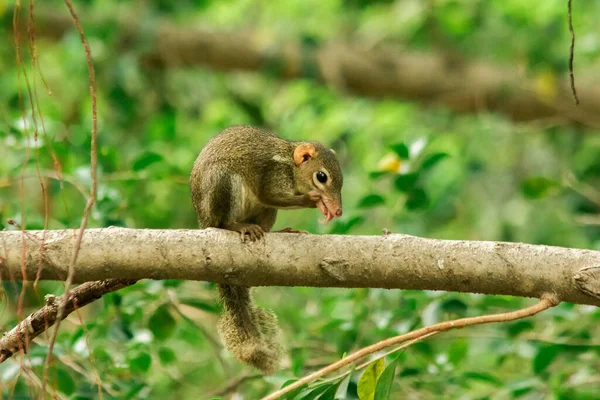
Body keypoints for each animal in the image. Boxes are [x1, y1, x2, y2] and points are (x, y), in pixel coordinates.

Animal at [190, 126, 344, 376]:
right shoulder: (272, 175)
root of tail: (204, 220)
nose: (337, 210)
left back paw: (282, 231)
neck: (291, 166)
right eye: (322, 177)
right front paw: (313, 199)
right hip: (224, 184)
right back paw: (239, 226)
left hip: (265, 211)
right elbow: (270, 195)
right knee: (223, 222)